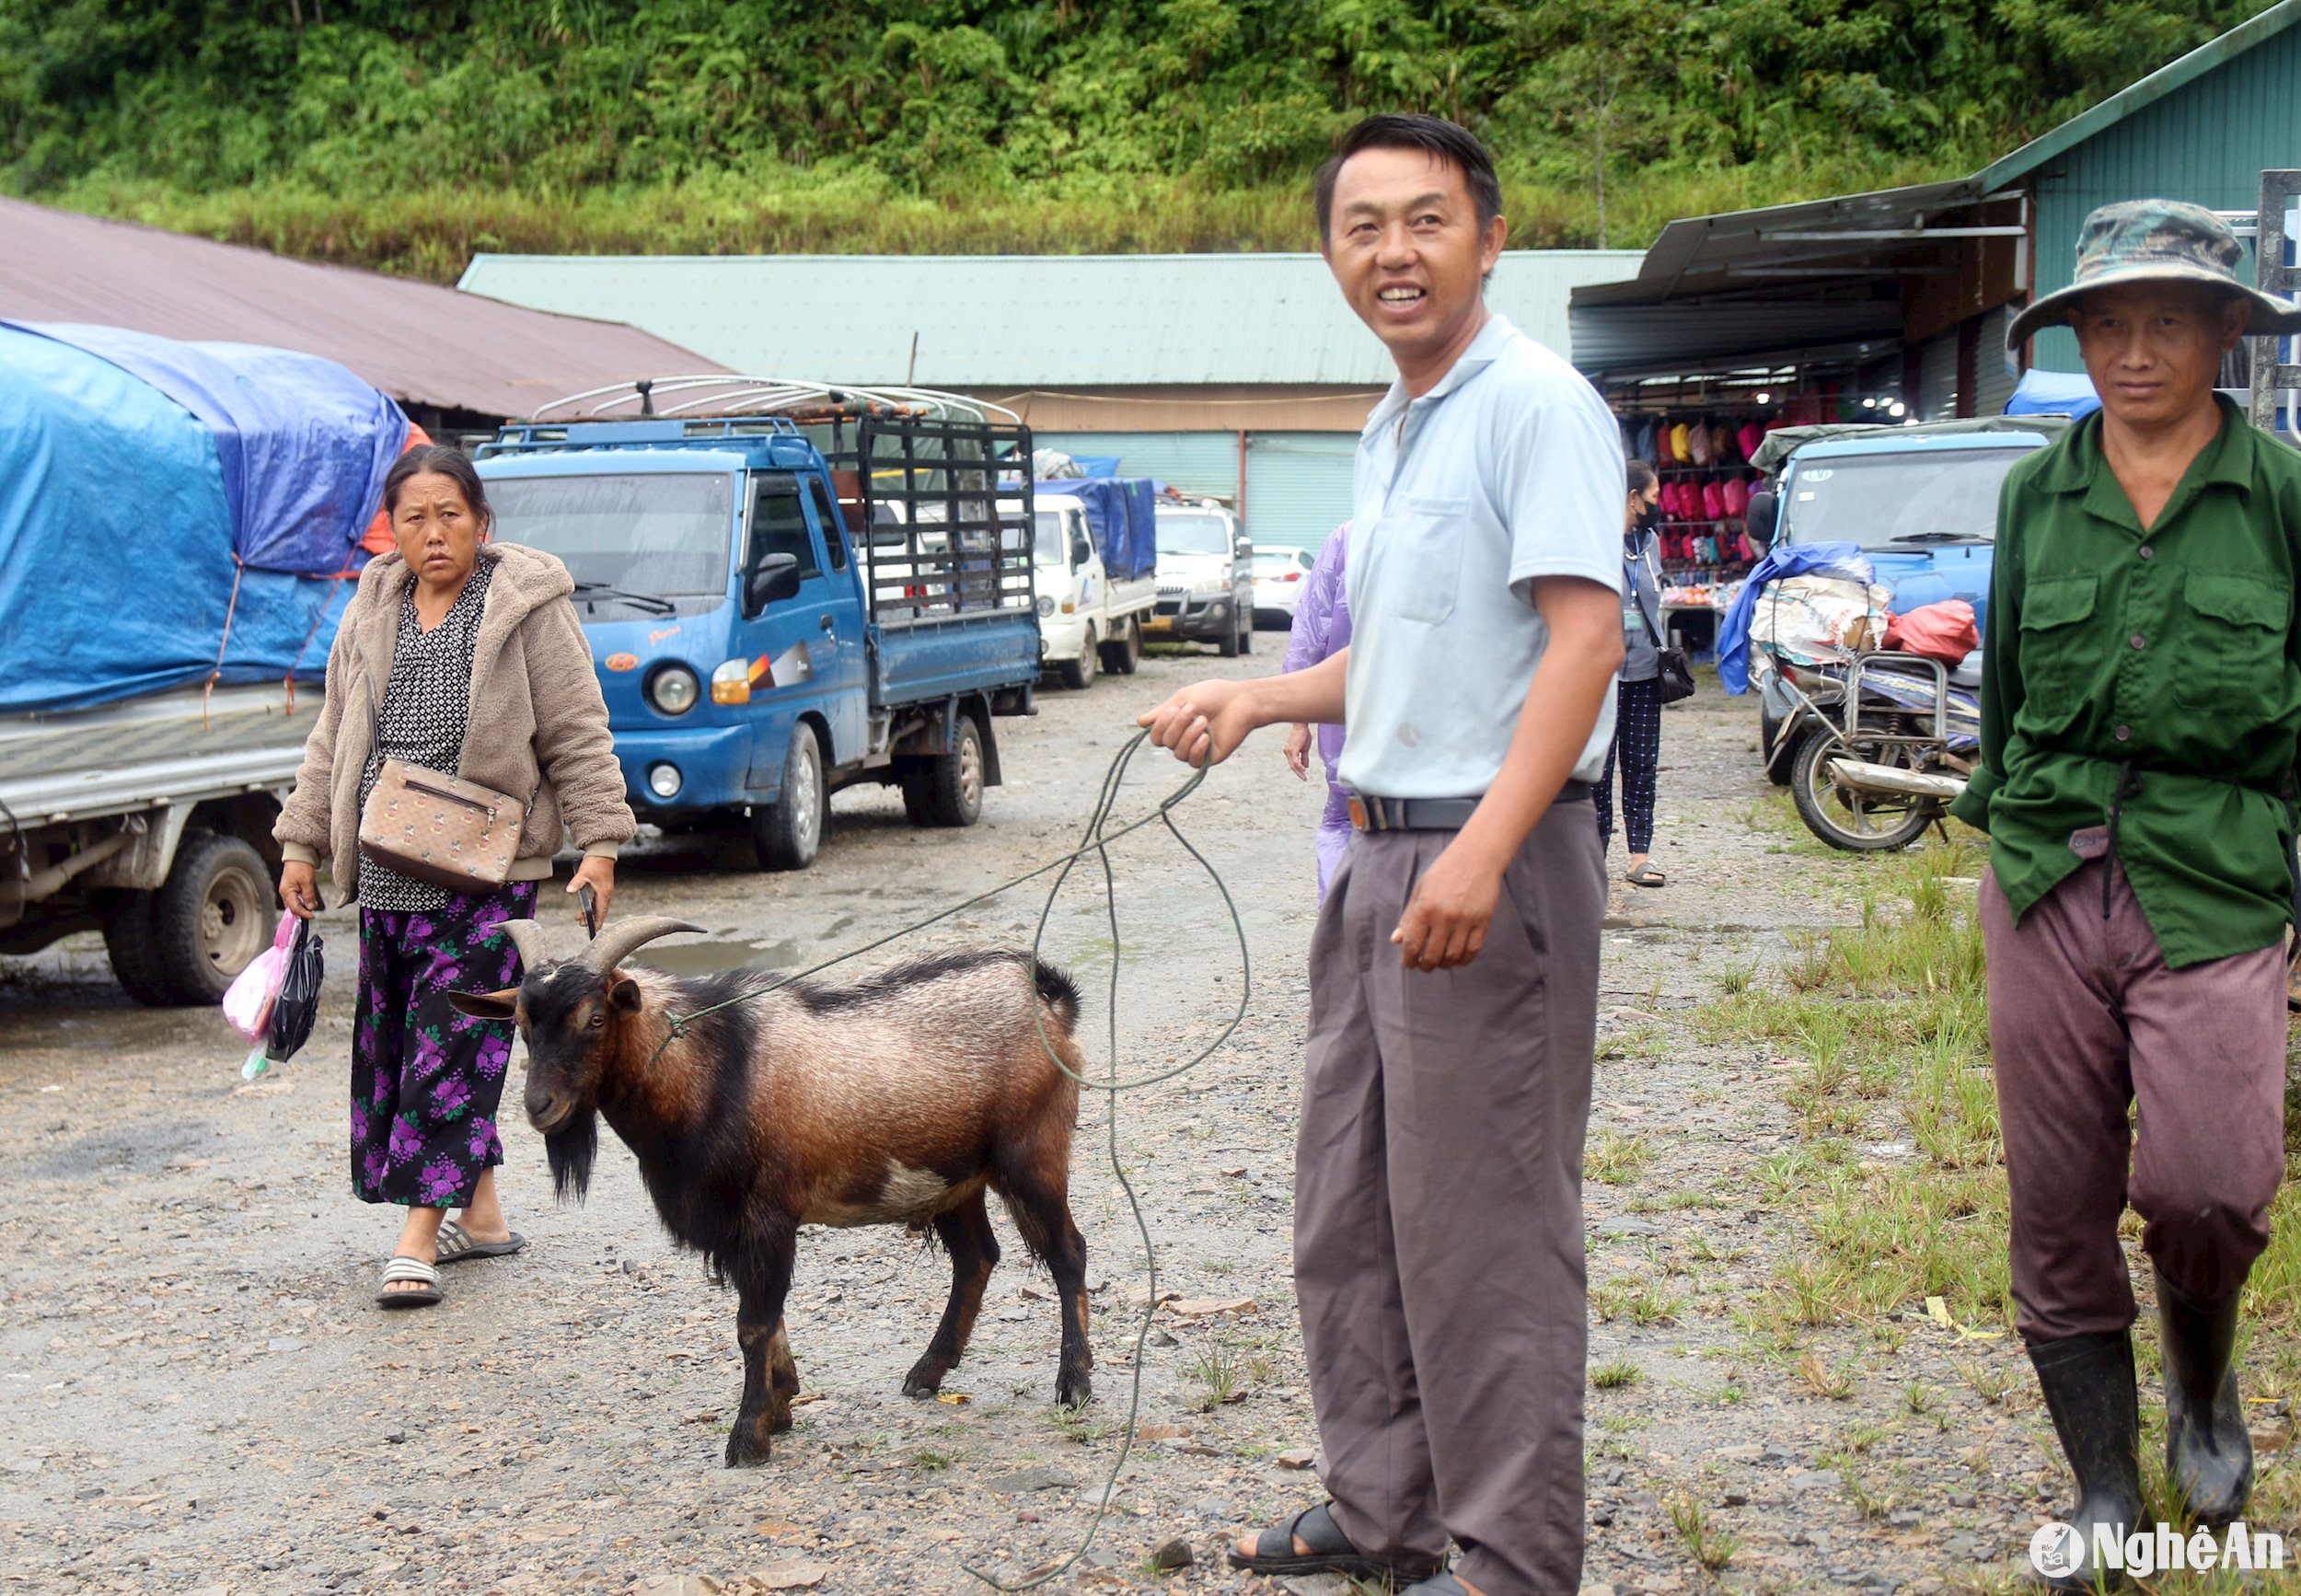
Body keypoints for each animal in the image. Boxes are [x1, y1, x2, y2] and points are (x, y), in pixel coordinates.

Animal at [453, 919, 1100, 1472]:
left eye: (594, 1019)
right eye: (520, 1021)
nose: (540, 1107)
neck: (712, 1069)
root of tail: (1048, 997)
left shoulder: (767, 1213)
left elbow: (752, 1324)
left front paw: (748, 1437)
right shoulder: (739, 1224)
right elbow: (766, 1315)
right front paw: (782, 1404)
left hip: (1031, 1157)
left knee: (1068, 1253)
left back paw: (1074, 1385)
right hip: (951, 1180)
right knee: (977, 1259)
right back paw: (927, 1373)